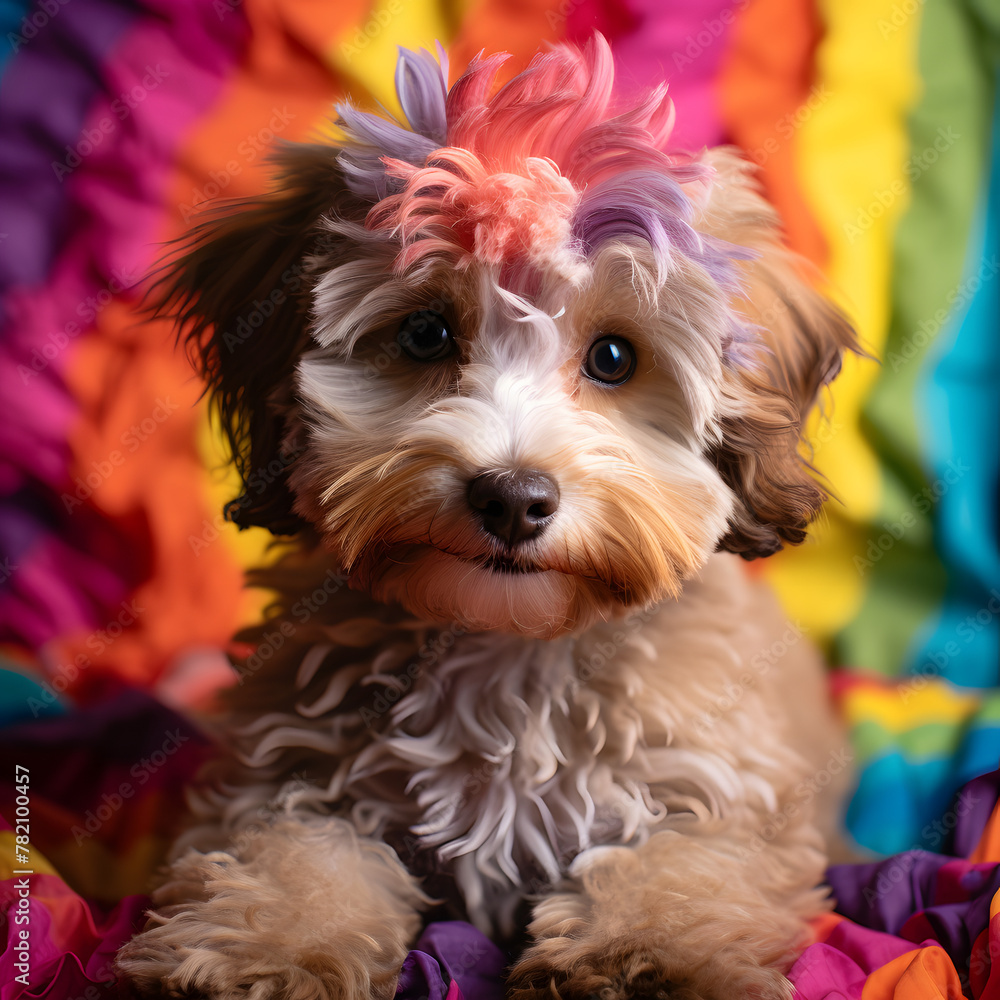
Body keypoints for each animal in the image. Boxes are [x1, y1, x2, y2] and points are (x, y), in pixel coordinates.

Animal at [115, 33, 852, 1000]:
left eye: (614, 357)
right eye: (426, 334)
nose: (511, 495)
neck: (504, 645)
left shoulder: (730, 795)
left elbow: (684, 866)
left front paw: (645, 957)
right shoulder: (280, 776)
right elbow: (294, 855)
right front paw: (267, 951)